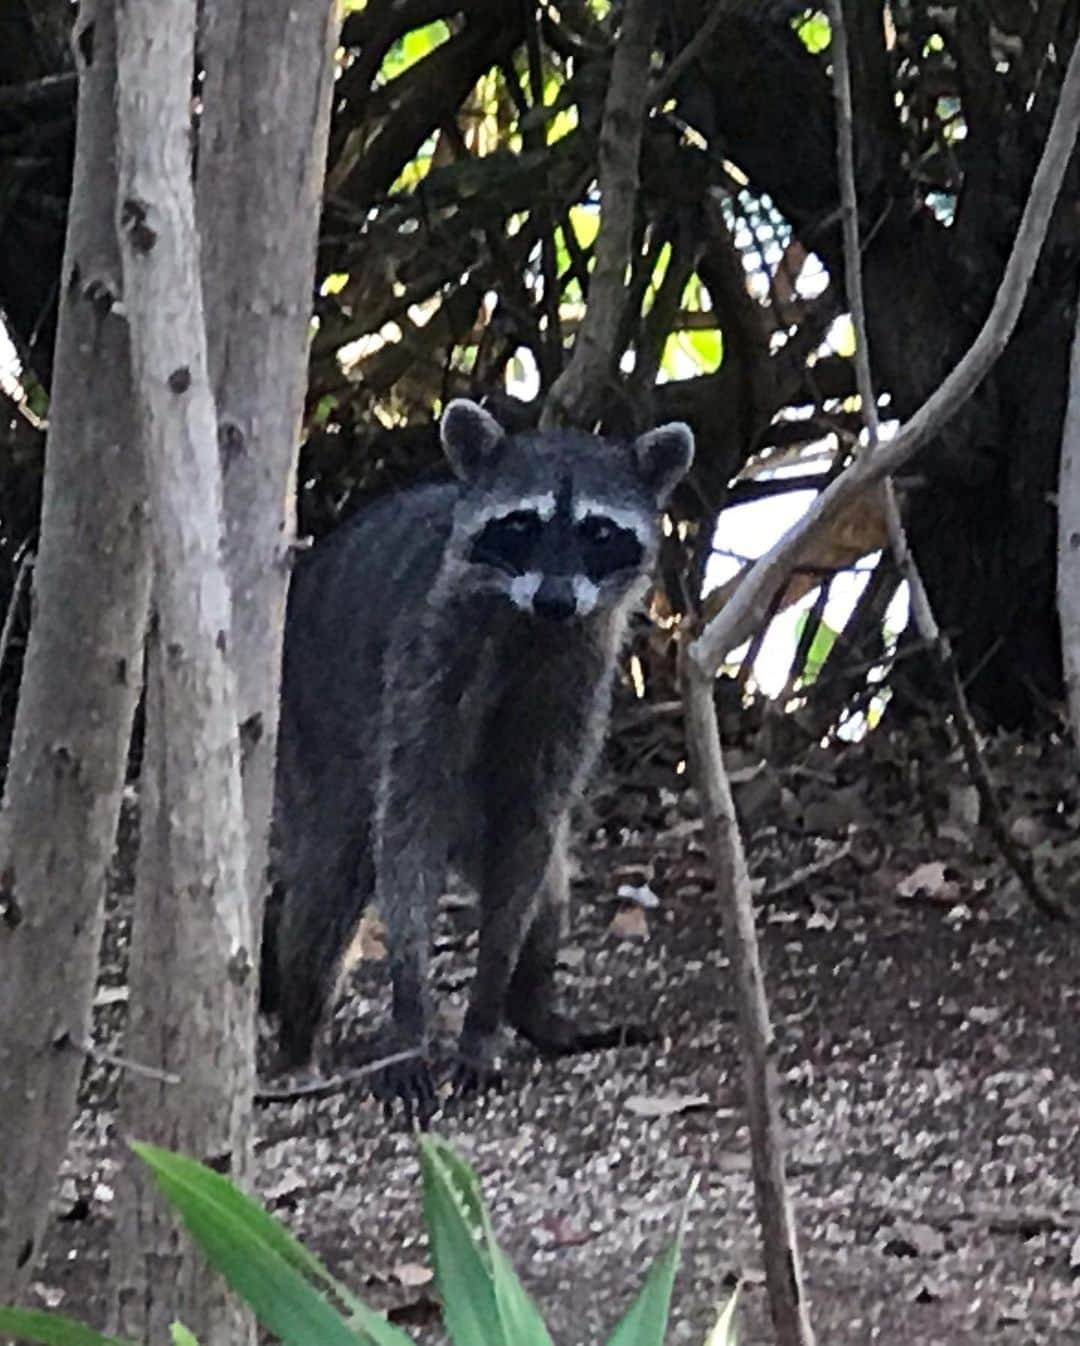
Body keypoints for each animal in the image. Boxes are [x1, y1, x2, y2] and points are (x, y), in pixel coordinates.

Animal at [265, 403, 694, 1119]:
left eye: (599, 532)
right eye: (521, 525)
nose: (555, 598)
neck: (532, 625)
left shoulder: (577, 685)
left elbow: (530, 844)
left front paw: (487, 1010)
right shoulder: (424, 667)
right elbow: (406, 835)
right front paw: (410, 1016)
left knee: (547, 882)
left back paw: (532, 1007)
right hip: (313, 724)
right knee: (328, 883)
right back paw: (299, 1034)